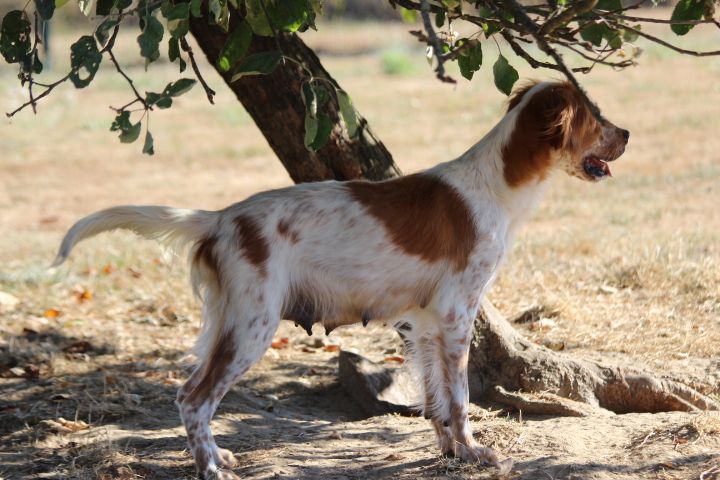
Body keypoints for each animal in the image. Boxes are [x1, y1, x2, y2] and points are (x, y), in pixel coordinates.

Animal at [52, 80, 628, 479]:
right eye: (597, 117)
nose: (627, 134)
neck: (494, 181)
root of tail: (221, 218)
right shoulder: (456, 315)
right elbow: (462, 399)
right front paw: (476, 453)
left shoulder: (423, 322)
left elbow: (437, 402)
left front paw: (450, 452)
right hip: (253, 325)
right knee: (192, 397)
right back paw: (210, 467)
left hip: (230, 321)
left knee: (193, 394)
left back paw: (217, 455)